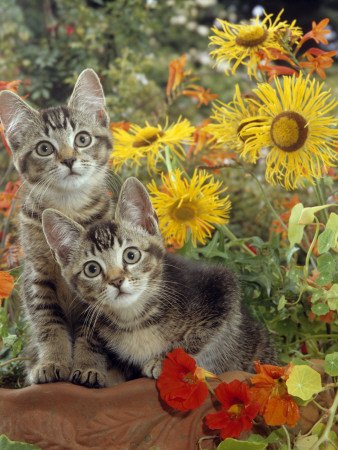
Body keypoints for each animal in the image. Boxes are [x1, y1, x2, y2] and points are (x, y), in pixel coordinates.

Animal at [0, 68, 117, 384]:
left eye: (82, 139)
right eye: (44, 148)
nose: (69, 159)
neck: (68, 208)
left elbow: (92, 331)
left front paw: (88, 367)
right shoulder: (37, 276)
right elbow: (48, 324)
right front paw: (52, 362)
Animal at [41, 176, 276, 384]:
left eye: (131, 255)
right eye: (92, 269)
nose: (117, 281)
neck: (135, 321)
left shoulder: (222, 289)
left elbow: (196, 340)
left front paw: (165, 361)